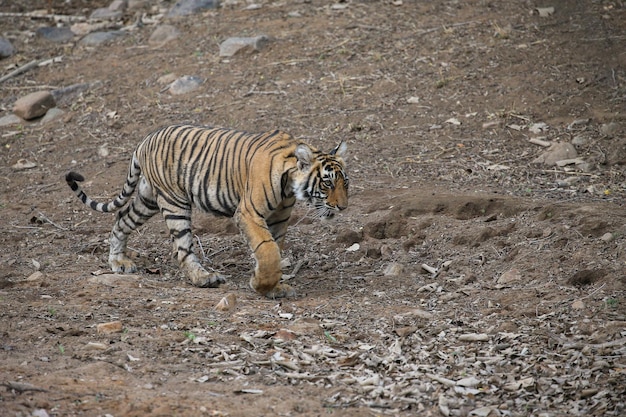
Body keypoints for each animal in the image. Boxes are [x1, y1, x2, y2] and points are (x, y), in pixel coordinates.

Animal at [66, 122, 348, 296]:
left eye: (345, 182)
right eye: (327, 182)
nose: (343, 207)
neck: (290, 185)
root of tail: (145, 139)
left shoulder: (279, 218)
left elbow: (274, 250)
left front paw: (273, 287)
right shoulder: (248, 213)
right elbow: (268, 250)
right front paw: (261, 285)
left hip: (147, 199)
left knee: (122, 218)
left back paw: (118, 261)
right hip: (174, 202)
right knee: (182, 250)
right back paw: (204, 278)